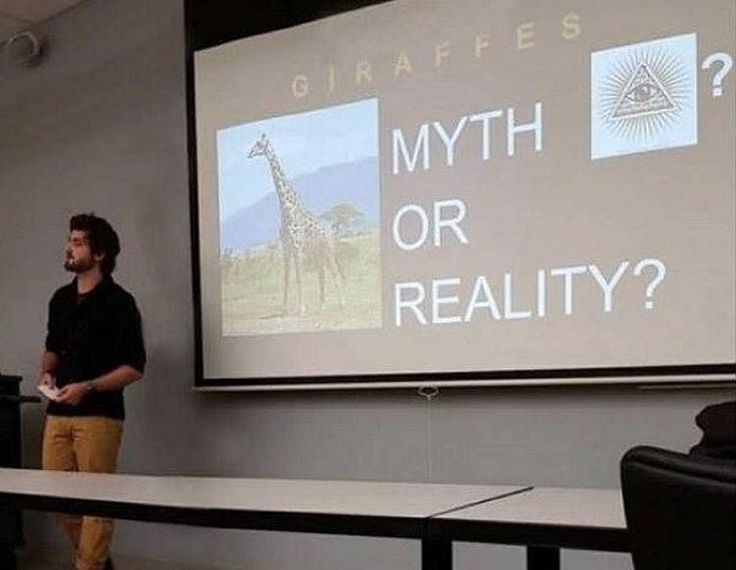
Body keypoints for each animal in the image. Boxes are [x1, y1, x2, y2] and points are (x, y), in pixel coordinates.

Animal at [247, 133, 344, 316]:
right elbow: (286, 278)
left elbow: (299, 278)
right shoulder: (286, 248)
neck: (287, 209)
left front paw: (302, 309)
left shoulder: (297, 246)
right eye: (254, 144)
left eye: (259, 145)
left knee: (334, 270)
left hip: (328, 249)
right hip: (316, 252)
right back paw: (321, 306)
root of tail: (330, 230)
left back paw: (342, 304)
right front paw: (284, 309)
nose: (249, 153)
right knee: (322, 272)